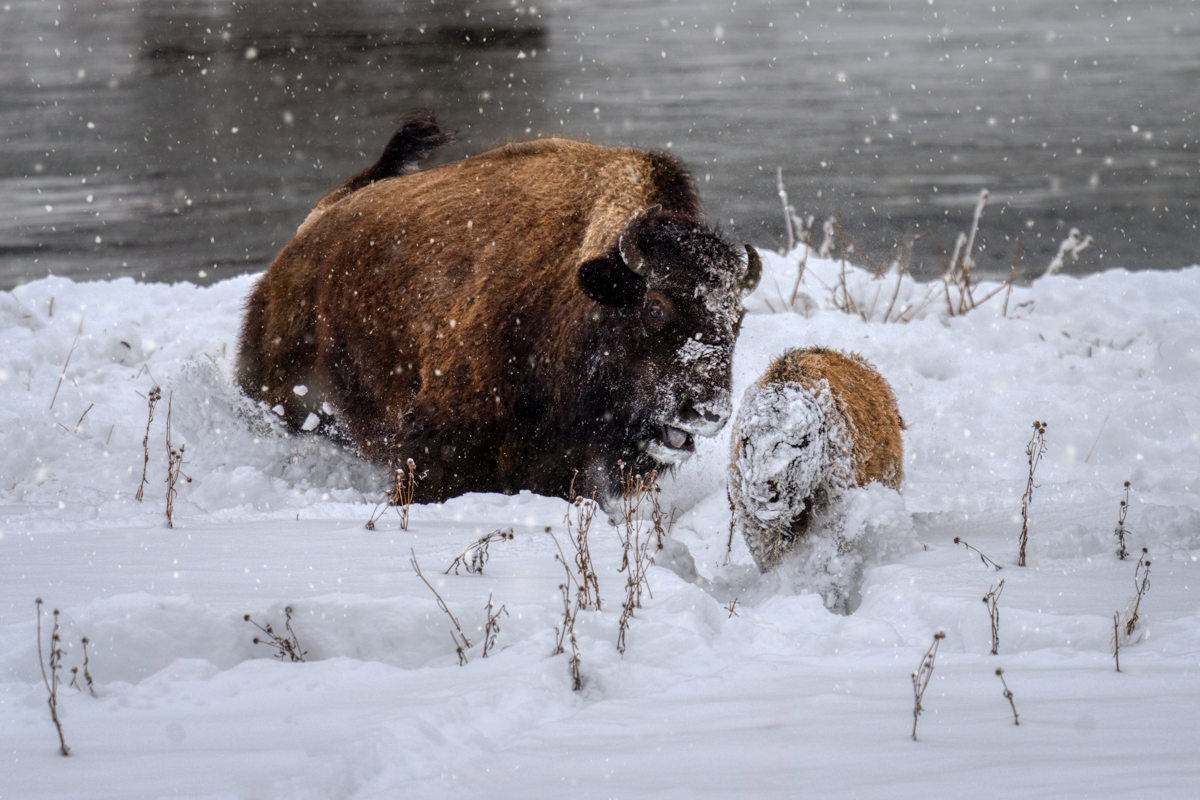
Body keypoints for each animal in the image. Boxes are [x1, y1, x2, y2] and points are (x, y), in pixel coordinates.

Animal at [236, 112, 761, 507]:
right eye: (654, 308)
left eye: (737, 320)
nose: (709, 412)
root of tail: (316, 223)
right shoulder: (439, 448)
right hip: (282, 393)